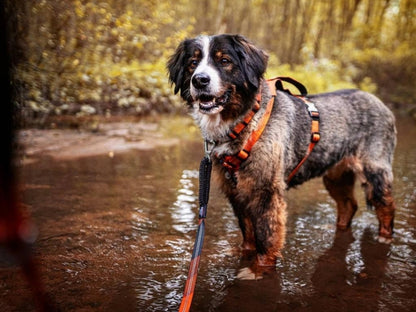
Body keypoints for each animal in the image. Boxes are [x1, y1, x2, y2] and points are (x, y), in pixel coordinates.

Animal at [167, 34, 396, 272]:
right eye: (193, 63)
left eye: (224, 61)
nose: (199, 80)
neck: (246, 121)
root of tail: (380, 102)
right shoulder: (237, 191)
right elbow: (248, 234)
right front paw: (245, 256)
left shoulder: (267, 191)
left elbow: (267, 236)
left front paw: (259, 270)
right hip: (336, 176)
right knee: (349, 205)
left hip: (375, 170)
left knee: (386, 206)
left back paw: (384, 237)